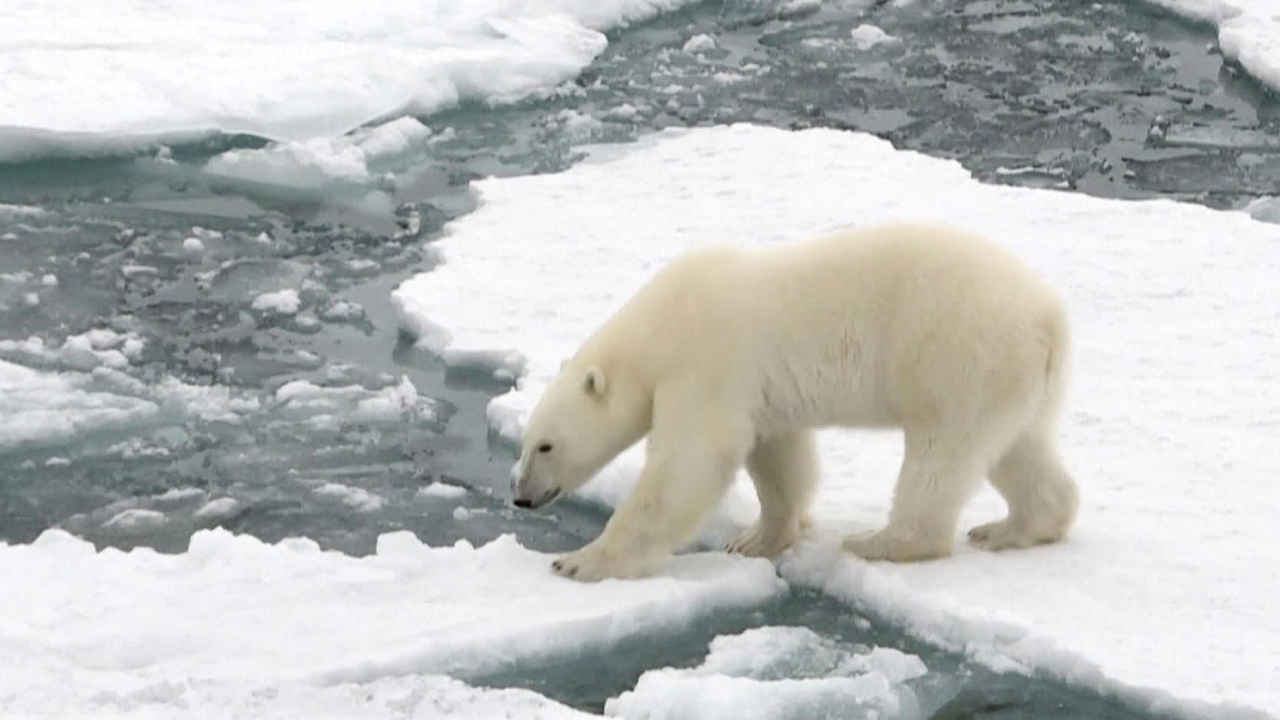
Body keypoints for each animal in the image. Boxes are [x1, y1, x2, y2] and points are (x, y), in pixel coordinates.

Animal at [509, 221, 1080, 579]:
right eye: (526, 442)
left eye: (545, 446)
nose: (520, 497)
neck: (658, 327)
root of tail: (1049, 314)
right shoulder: (759, 390)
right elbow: (779, 458)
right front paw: (756, 540)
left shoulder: (706, 363)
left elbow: (687, 466)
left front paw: (578, 561)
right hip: (1015, 378)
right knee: (1016, 447)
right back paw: (1010, 527)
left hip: (958, 354)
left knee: (943, 452)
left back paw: (881, 540)